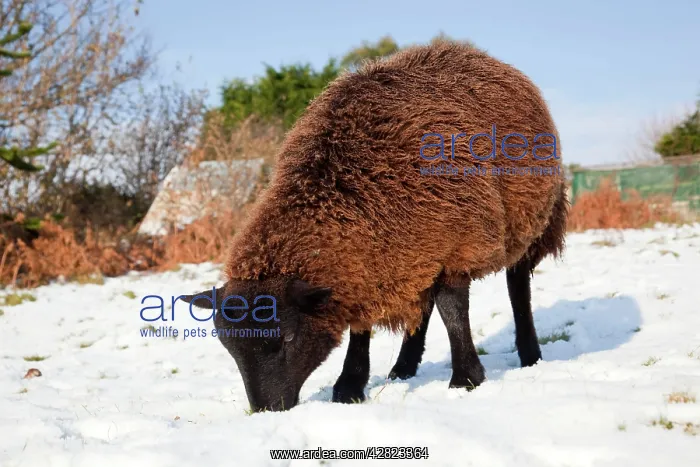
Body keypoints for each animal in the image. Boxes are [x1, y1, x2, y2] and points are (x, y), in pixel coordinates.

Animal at [183, 41, 568, 412]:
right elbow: (363, 325)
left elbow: (453, 311)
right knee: (423, 303)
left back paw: (530, 354)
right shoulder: (376, 260)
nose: (267, 409)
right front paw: (350, 387)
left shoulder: (459, 245)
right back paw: (403, 367)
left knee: (517, 287)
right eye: (230, 348)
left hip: (532, 222)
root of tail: (482, 57)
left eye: (288, 338)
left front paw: (465, 379)